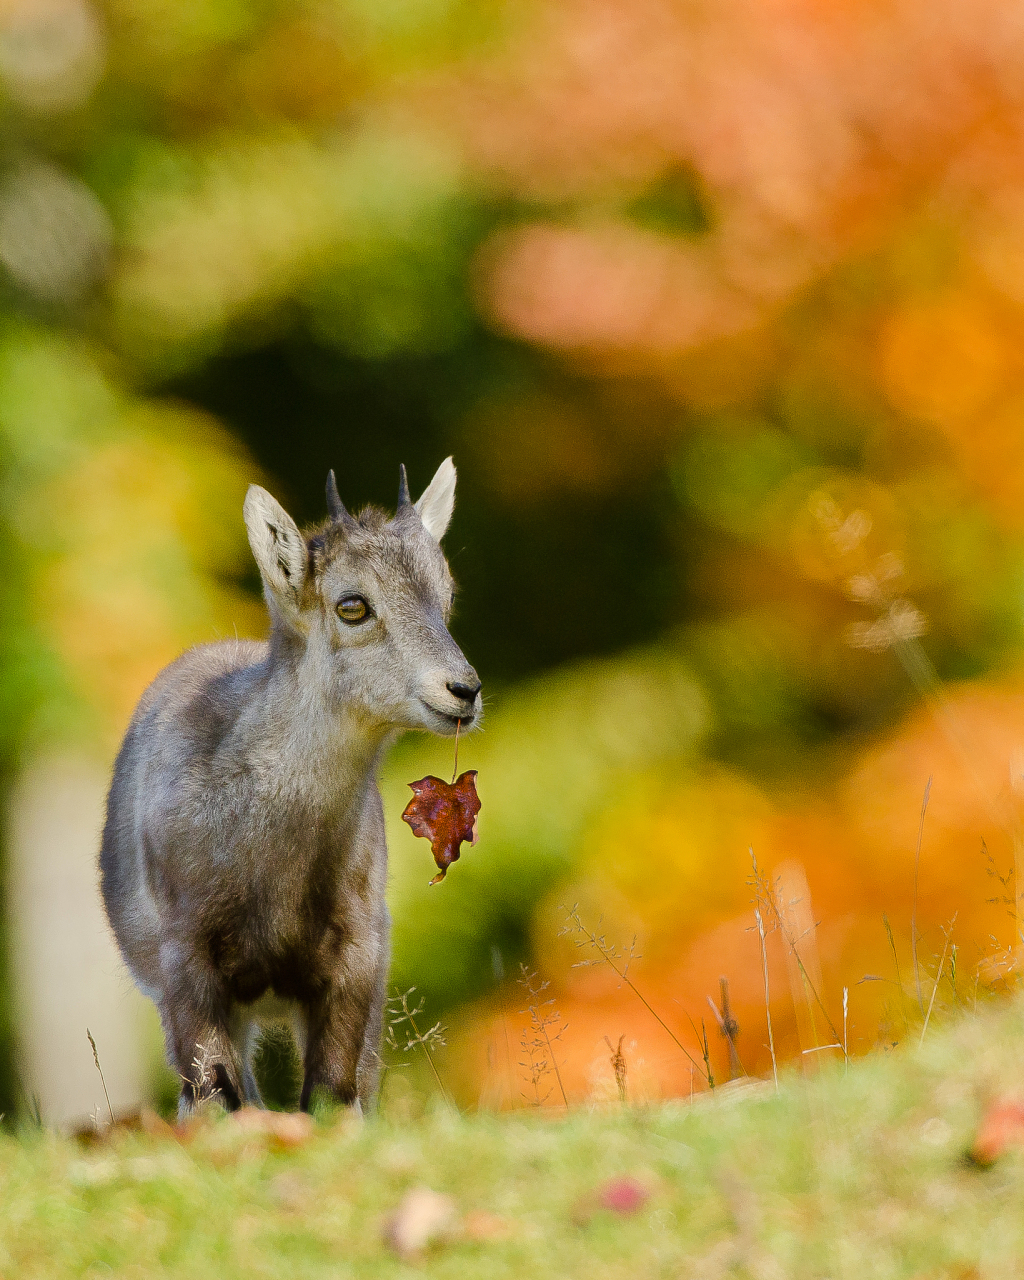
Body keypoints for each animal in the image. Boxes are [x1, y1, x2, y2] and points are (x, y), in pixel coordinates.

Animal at [99, 458, 481, 1118]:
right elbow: (217, 1090)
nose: (463, 690)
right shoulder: (187, 962)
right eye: (352, 605)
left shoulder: (357, 956)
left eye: (447, 593)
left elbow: (334, 1091)